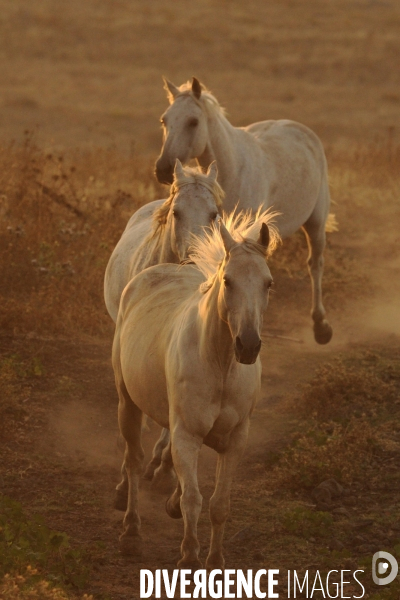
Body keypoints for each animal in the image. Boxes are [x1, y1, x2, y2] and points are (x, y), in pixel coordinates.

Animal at [112, 207, 280, 568]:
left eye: (268, 283)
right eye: (228, 281)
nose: (248, 345)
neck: (219, 365)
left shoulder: (235, 440)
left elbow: (219, 504)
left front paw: (215, 562)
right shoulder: (187, 433)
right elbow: (194, 498)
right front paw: (189, 558)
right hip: (127, 404)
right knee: (133, 461)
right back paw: (130, 531)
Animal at [155, 77, 334, 344]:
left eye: (193, 121)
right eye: (164, 120)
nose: (163, 169)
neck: (232, 171)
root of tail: (301, 129)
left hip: (316, 222)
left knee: (315, 264)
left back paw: (321, 326)